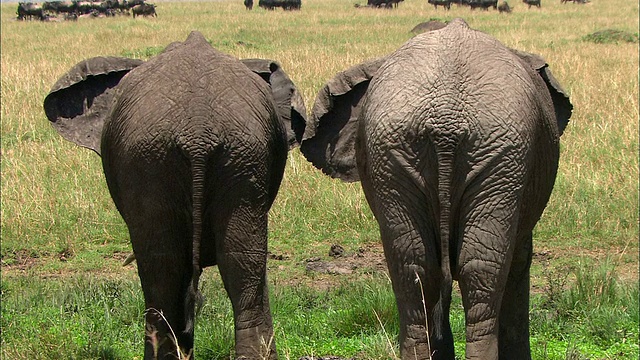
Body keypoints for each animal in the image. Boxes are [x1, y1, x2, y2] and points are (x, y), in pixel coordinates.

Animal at [292, 19, 572, 360]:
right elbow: (519, 261)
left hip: (410, 150)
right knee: (479, 269)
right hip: (493, 153)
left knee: (417, 267)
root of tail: (446, 121)